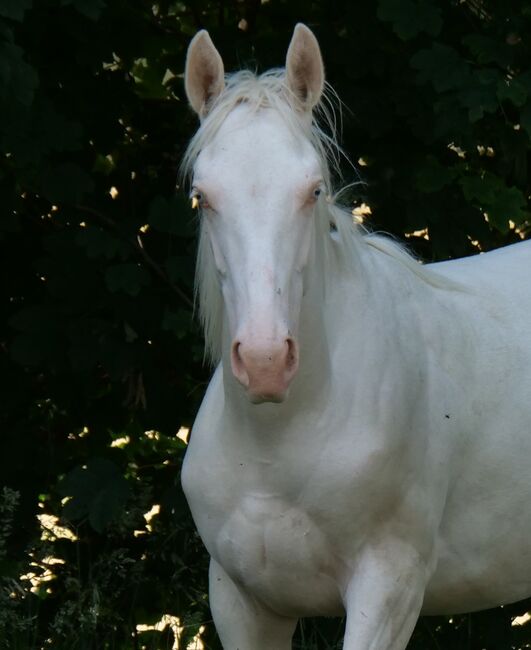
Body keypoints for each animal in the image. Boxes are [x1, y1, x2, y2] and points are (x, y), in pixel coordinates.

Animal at [180, 24, 531, 648]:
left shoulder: (387, 590)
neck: (278, 441)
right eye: (203, 196)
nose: (266, 362)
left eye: (314, 190)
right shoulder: (241, 602)